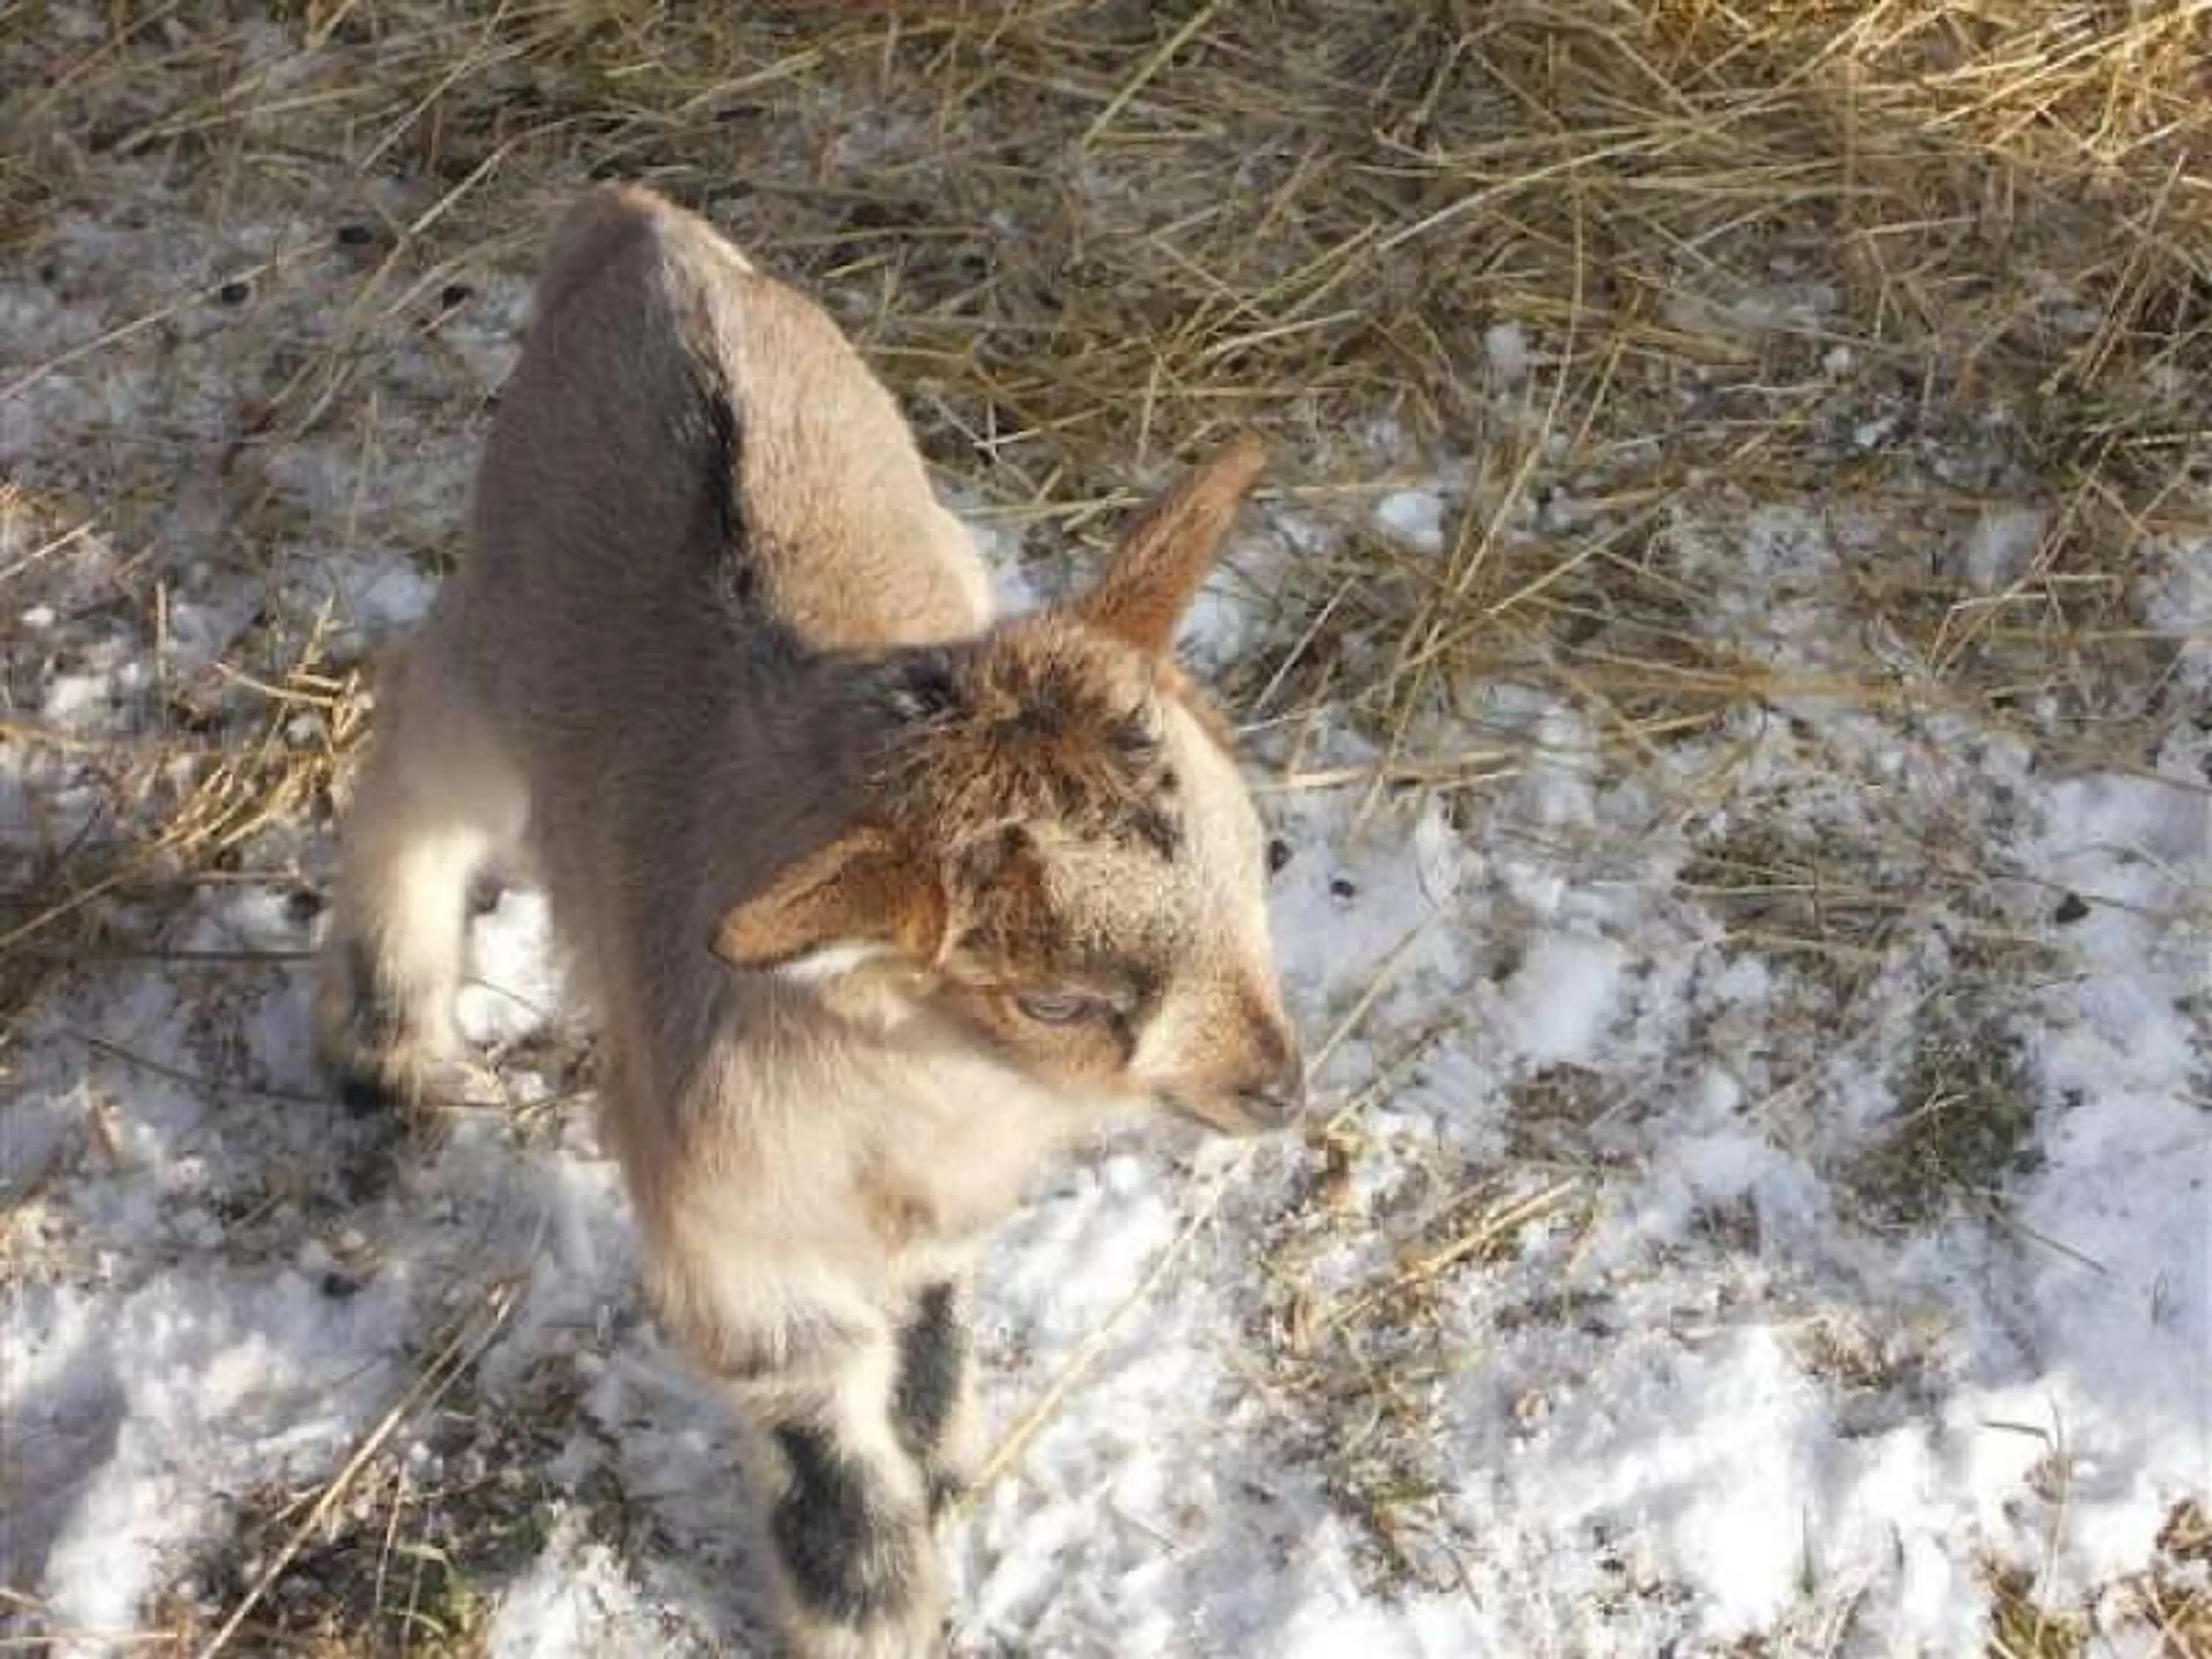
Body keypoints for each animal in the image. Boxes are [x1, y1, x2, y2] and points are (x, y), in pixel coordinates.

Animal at [320, 184, 1300, 1659]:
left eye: (1264, 856)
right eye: (1057, 1000)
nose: (1276, 1087)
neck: (931, 1091)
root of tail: (641, 225)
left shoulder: (938, 1206)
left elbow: (931, 1321)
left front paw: (939, 1466)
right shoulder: (738, 1239)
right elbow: (819, 1438)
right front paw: (875, 1611)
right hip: (495, 650)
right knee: (412, 749)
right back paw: (383, 1044)